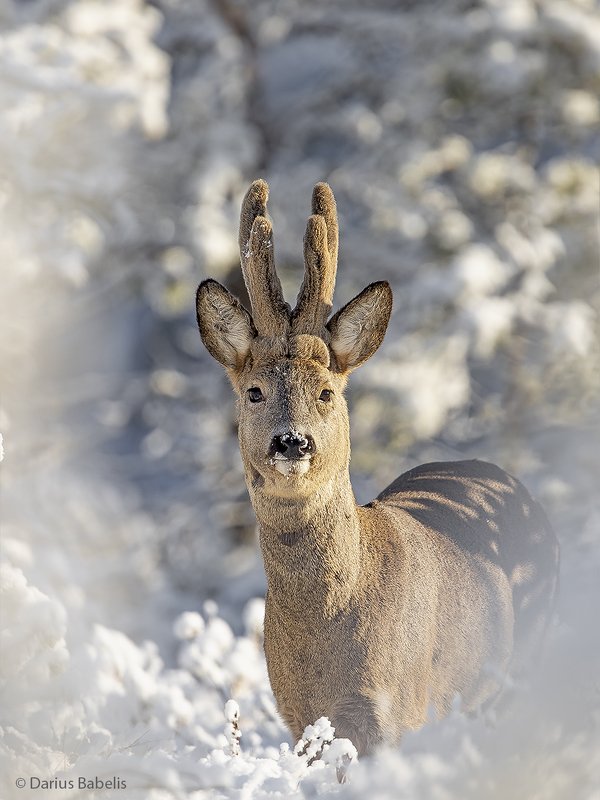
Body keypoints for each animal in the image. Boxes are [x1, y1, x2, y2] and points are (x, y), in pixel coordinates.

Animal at [197, 180, 564, 756]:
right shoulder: (301, 718)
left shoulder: (399, 708)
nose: (292, 442)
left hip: (523, 657)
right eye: (254, 391)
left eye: (326, 391)